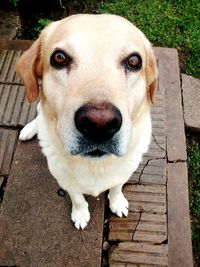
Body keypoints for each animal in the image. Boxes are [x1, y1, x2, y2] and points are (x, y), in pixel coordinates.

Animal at [16, 13, 158, 230]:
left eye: (134, 61)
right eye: (59, 57)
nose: (99, 125)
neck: (95, 166)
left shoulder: (124, 173)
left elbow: (116, 187)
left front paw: (117, 202)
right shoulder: (65, 180)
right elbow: (77, 198)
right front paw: (80, 214)